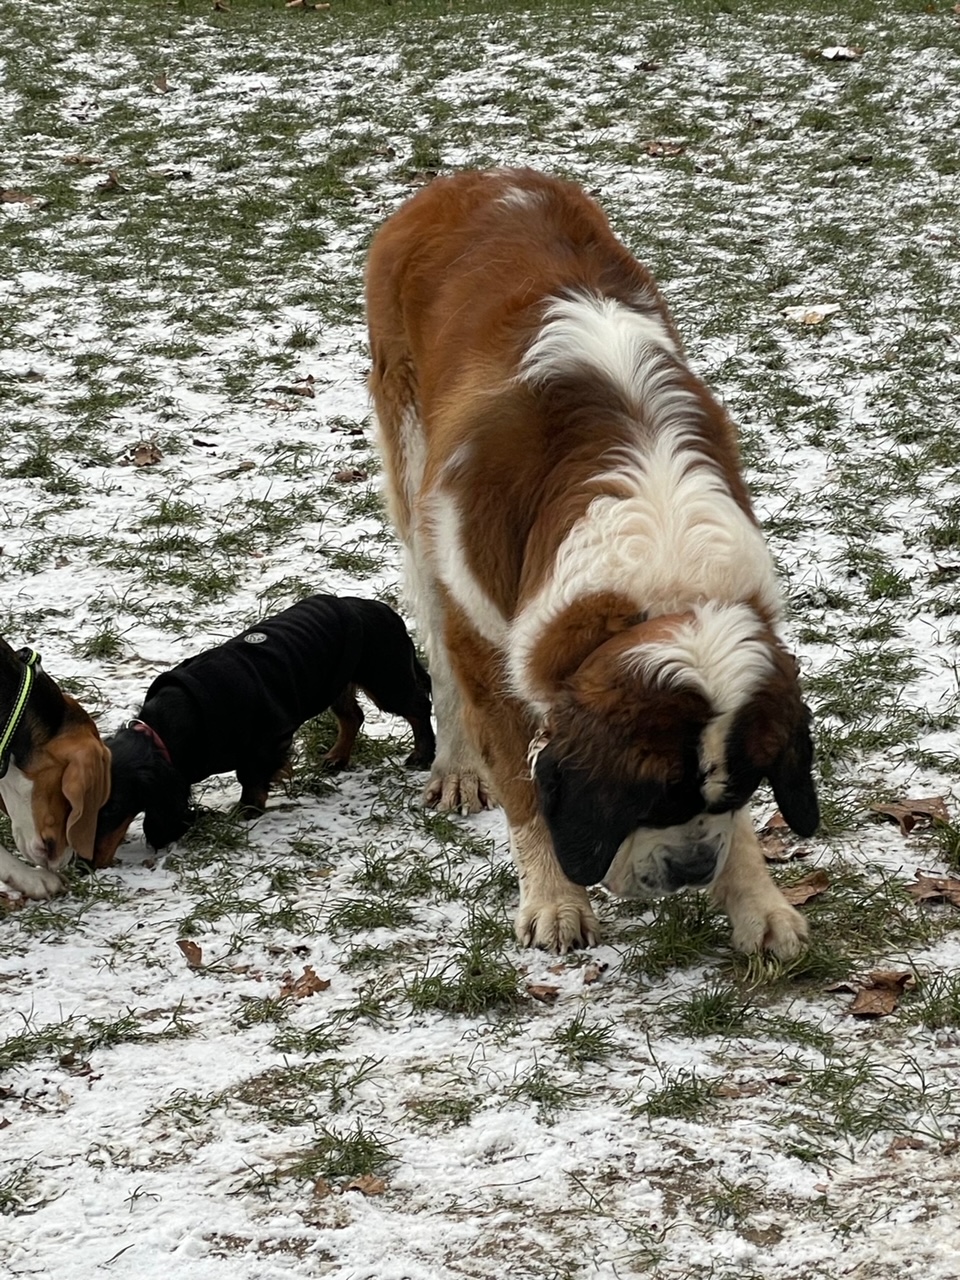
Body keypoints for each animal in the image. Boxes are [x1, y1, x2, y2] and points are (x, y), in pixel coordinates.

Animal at [366, 165, 819, 957]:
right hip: (413, 480)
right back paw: (456, 766)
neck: (655, 582)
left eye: (741, 789)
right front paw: (555, 899)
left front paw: (755, 898)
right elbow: (521, 783)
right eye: (645, 797)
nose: (691, 870)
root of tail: (472, 178)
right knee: (435, 647)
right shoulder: (486, 634)